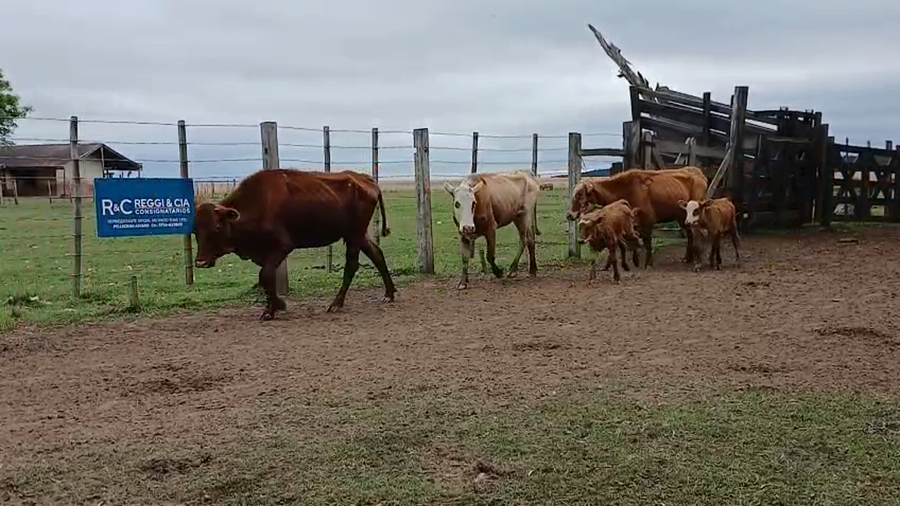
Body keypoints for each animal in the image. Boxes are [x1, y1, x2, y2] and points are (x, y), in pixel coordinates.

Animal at [192, 168, 396, 321]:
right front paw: (276, 305)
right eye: (195, 230)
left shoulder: (282, 247)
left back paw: (336, 304)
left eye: (217, 226)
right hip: (358, 236)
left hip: (354, 236)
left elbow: (265, 275)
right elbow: (266, 278)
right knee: (377, 254)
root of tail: (364, 179)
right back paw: (389, 293)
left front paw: (272, 309)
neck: (257, 203)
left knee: (352, 265)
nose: (201, 262)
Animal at [565, 166, 708, 268]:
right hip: (682, 217)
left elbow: (647, 242)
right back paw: (688, 258)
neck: (624, 190)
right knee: (690, 235)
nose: (569, 214)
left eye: (580, 195)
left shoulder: (647, 219)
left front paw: (648, 263)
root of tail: (698, 172)